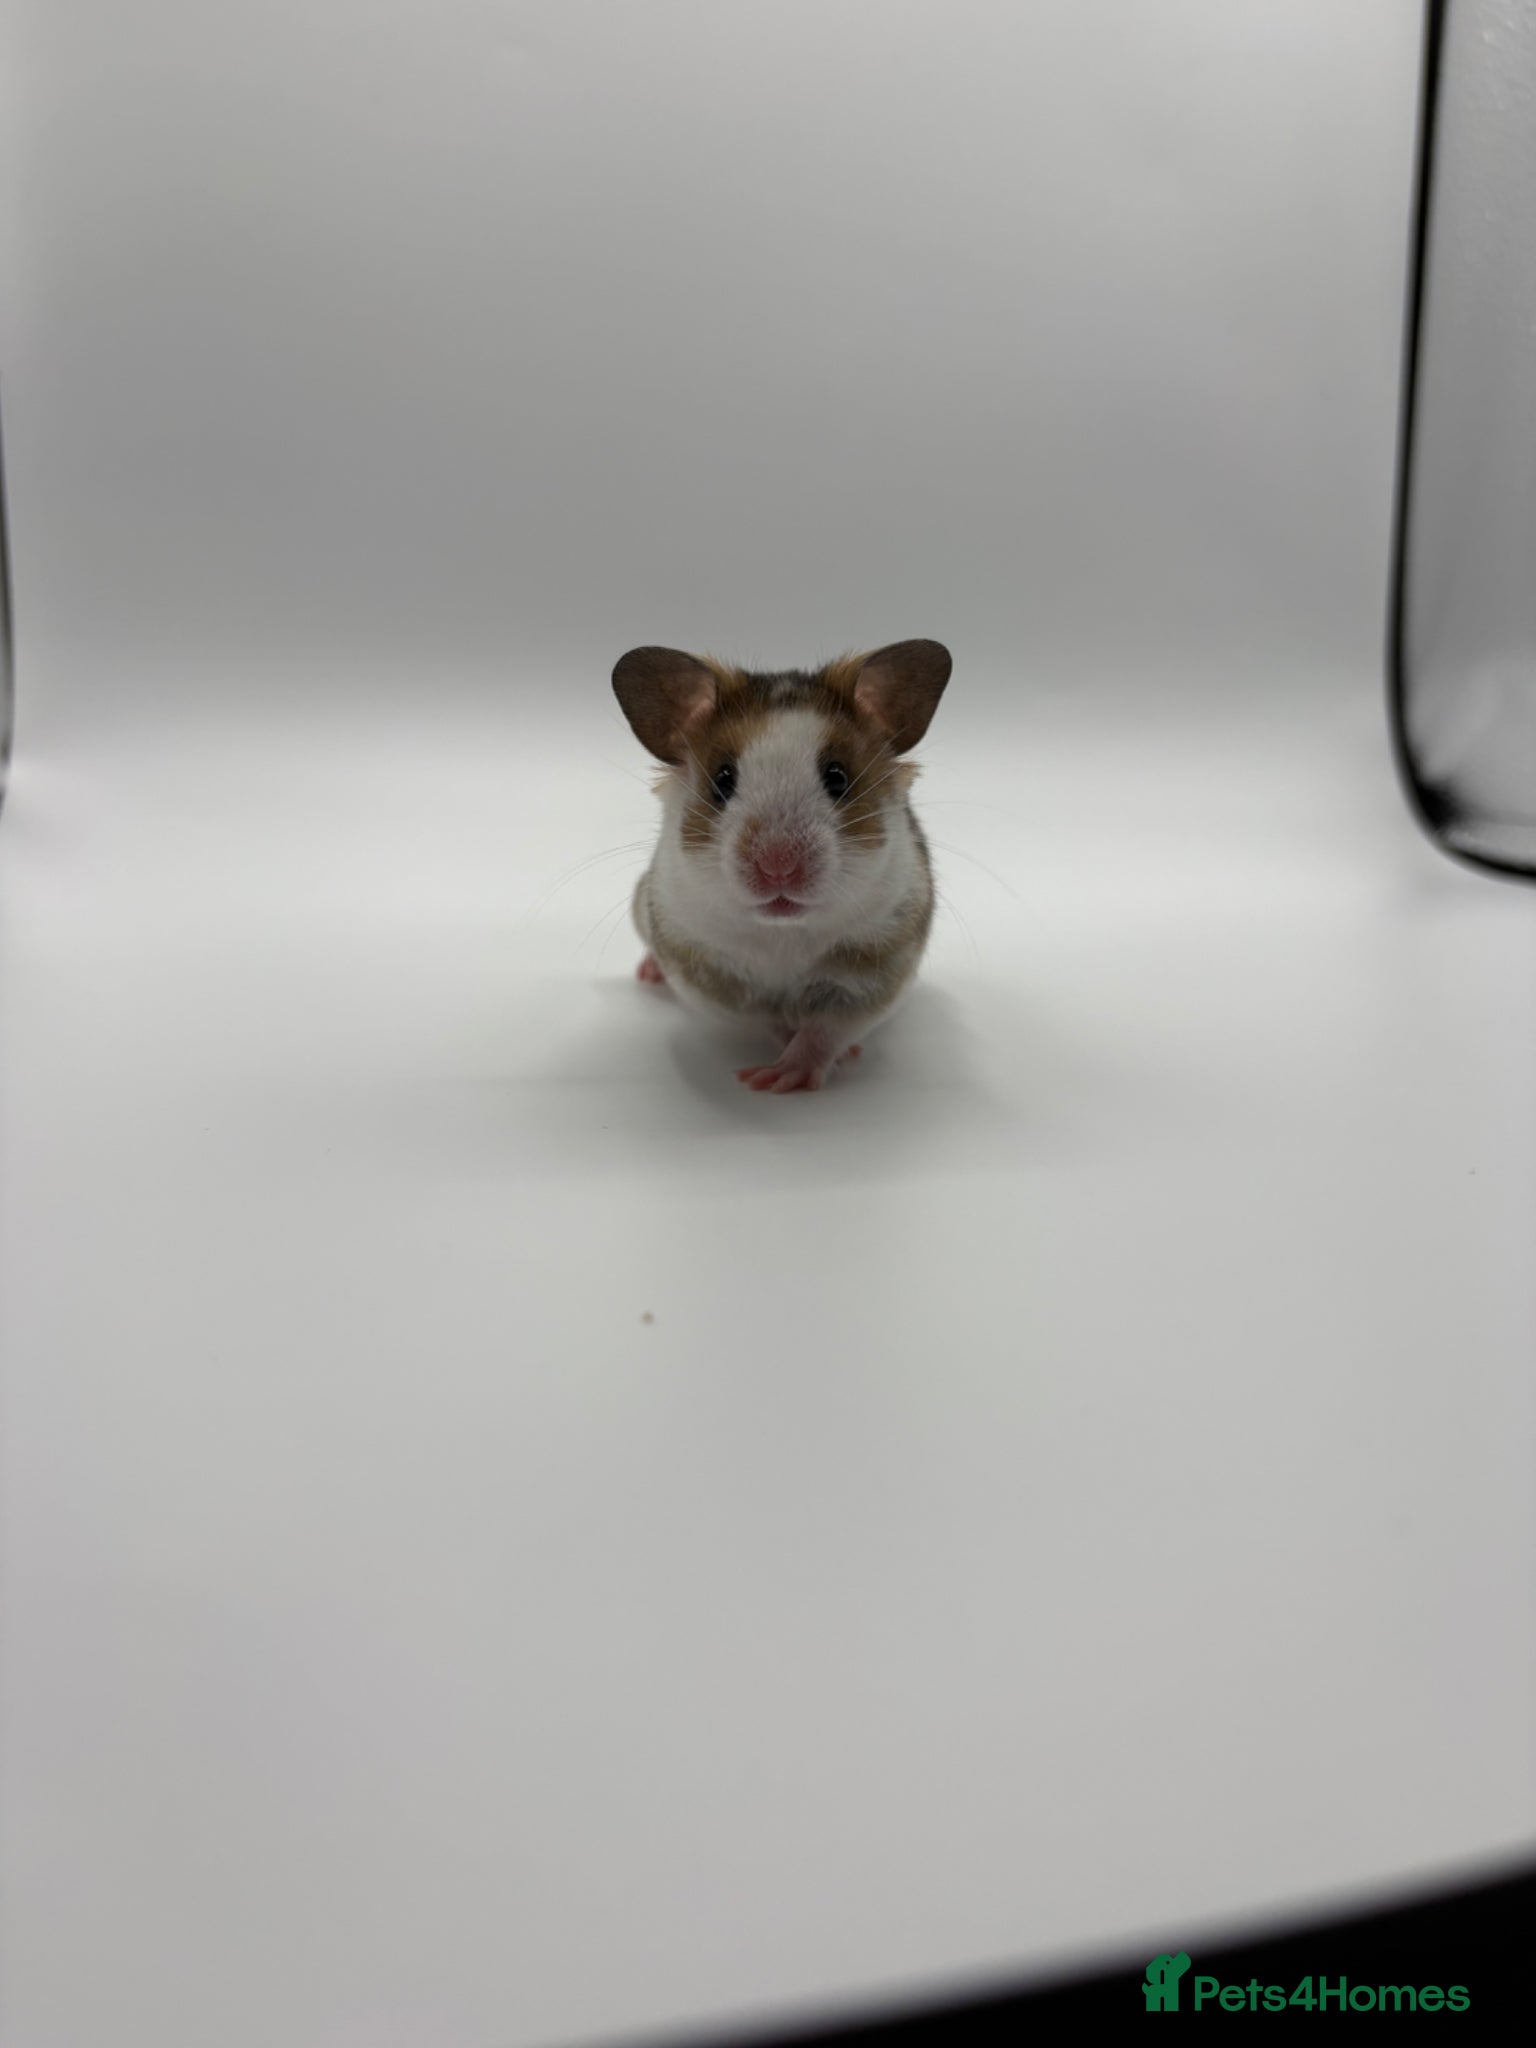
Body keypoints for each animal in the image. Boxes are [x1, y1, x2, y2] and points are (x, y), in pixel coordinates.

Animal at [612, 639, 951, 1092]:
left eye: (838, 777)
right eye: (723, 779)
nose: (778, 869)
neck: (783, 933)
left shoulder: (874, 970)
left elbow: (826, 1030)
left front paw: (792, 1075)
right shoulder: (716, 979)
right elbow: (771, 1021)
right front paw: (765, 1077)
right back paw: (648, 973)